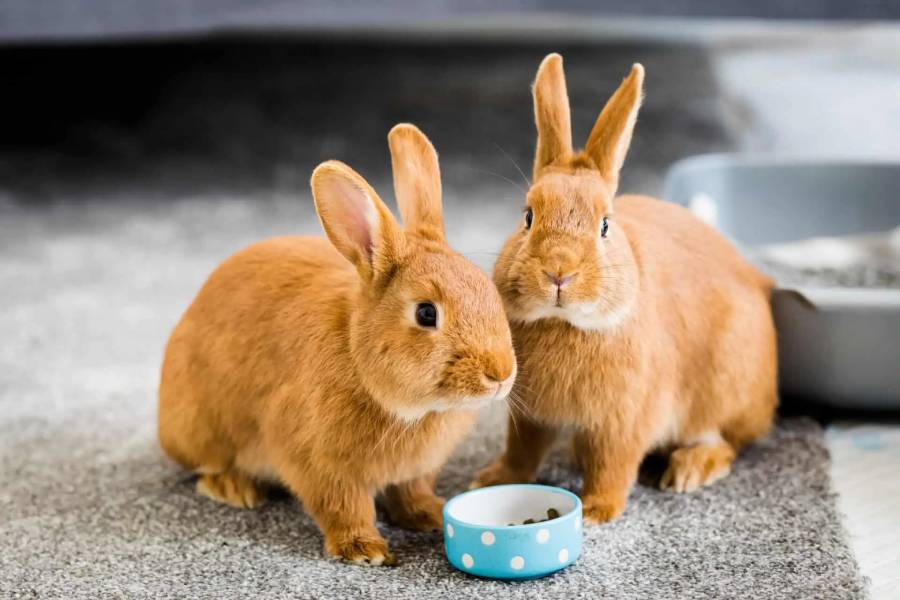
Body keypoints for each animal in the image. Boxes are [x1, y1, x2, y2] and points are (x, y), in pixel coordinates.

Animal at [159, 123, 516, 565]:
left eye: (489, 290)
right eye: (426, 313)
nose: (500, 374)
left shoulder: (416, 470)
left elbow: (411, 491)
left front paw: (430, 515)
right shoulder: (318, 462)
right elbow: (343, 505)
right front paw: (364, 550)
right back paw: (234, 489)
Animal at [471, 54, 777, 524]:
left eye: (604, 225)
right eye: (527, 217)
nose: (559, 272)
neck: (564, 323)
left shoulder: (625, 420)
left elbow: (614, 465)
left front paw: (597, 511)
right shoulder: (530, 416)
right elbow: (522, 452)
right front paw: (491, 480)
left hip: (722, 389)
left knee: (722, 441)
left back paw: (690, 470)